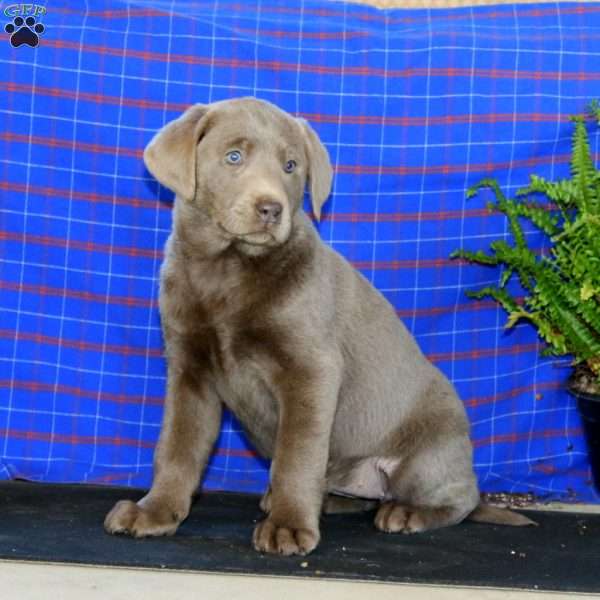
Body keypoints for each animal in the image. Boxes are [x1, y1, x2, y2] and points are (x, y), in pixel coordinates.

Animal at [104, 97, 536, 552]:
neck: (227, 270)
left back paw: (406, 512)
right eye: (233, 157)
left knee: (459, 500)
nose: (271, 208)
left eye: (291, 166)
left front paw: (288, 527)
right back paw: (326, 501)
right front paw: (154, 513)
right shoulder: (190, 370)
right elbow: (177, 447)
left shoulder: (311, 370)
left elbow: (296, 456)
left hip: (426, 458)